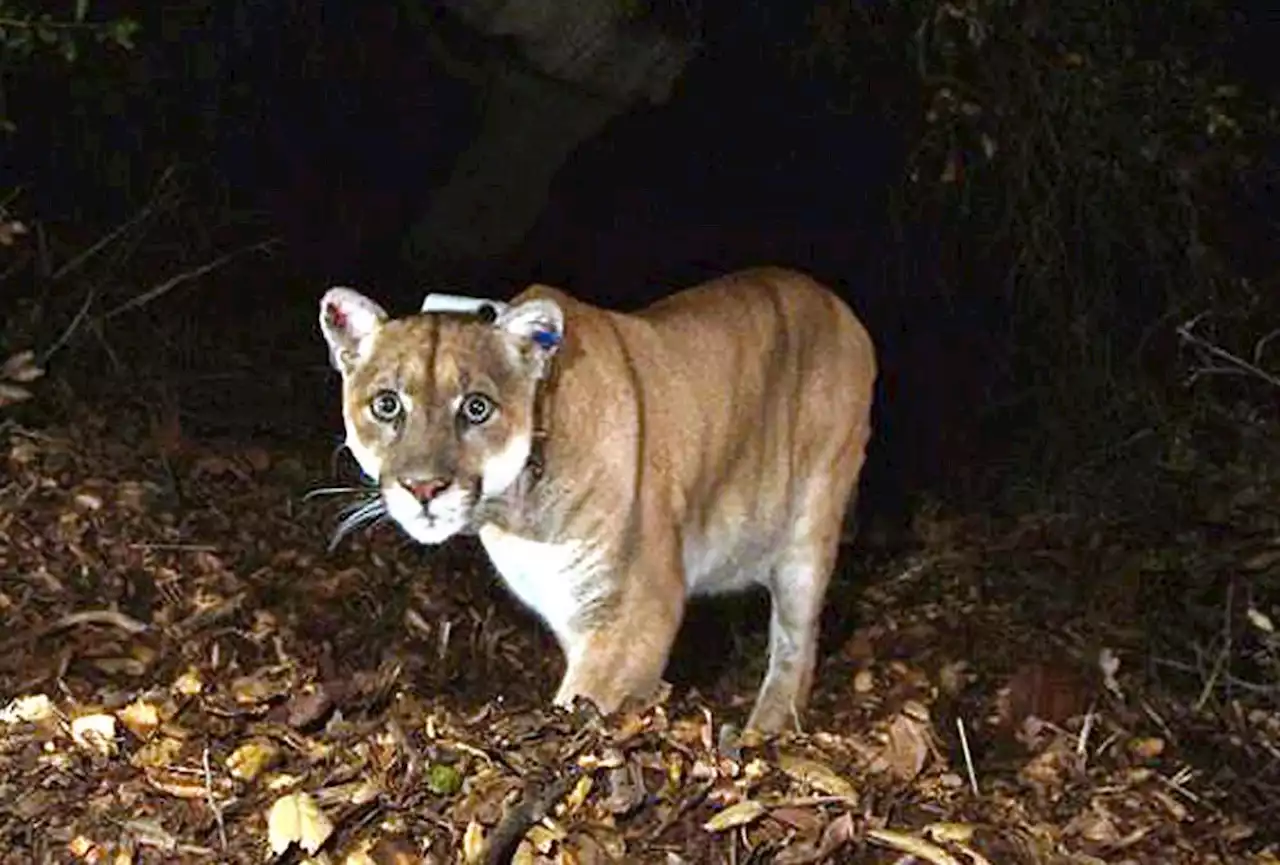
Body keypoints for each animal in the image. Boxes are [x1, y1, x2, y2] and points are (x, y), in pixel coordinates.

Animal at [320, 267, 880, 731]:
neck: (516, 513)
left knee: (796, 645)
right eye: (387, 404)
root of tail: (839, 304)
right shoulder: (574, 611)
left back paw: (764, 730)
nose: (424, 488)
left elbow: (582, 700)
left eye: (477, 408)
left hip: (809, 529)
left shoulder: (638, 608)